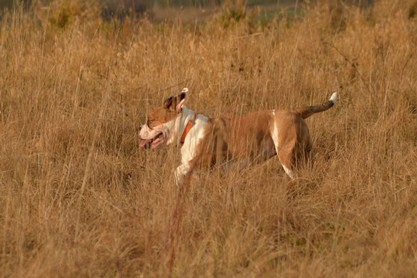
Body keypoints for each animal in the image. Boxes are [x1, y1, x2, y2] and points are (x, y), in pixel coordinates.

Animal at [138, 88, 336, 185]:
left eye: (151, 120)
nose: (139, 128)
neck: (188, 127)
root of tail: (296, 112)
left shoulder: (201, 161)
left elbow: (178, 170)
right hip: (304, 154)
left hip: (288, 157)